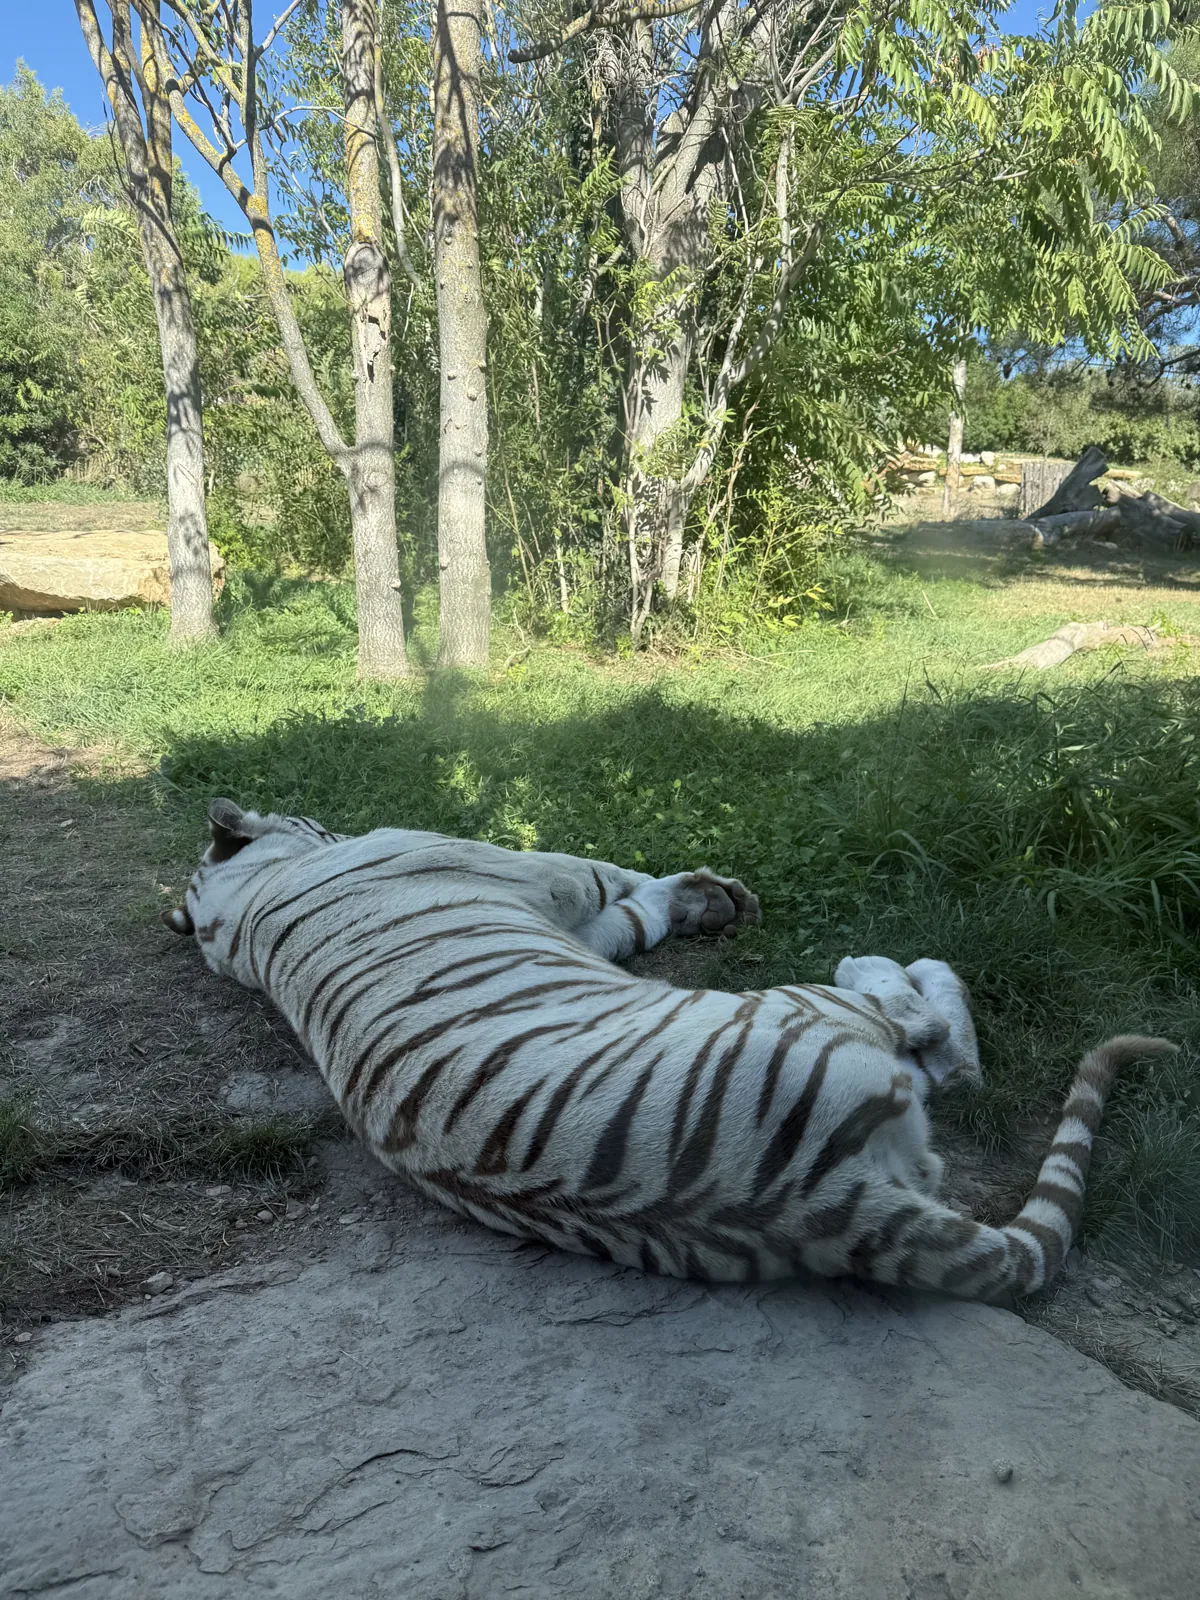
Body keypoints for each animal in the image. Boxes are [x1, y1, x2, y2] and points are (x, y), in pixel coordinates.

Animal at [163, 799, 1175, 1299]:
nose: (320, 820)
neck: (237, 922)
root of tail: (824, 1204)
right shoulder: (546, 871)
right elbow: (616, 874)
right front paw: (707, 891)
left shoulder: (577, 916)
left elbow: (634, 912)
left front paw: (701, 899)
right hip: (799, 1010)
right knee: (938, 1043)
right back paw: (892, 959)